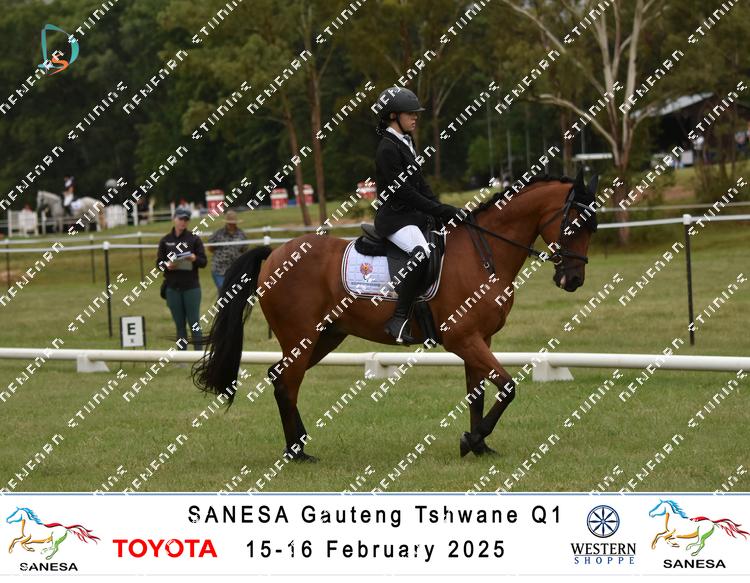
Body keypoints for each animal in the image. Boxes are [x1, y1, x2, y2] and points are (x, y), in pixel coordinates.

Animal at [193, 171, 598, 461]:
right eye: (576, 224)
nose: (573, 280)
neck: (486, 253)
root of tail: (274, 254)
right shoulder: (463, 339)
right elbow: (508, 387)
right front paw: (472, 439)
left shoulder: (480, 340)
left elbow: (478, 393)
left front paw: (477, 445)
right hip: (301, 336)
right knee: (288, 383)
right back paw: (296, 452)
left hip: (326, 335)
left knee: (280, 378)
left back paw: (300, 444)